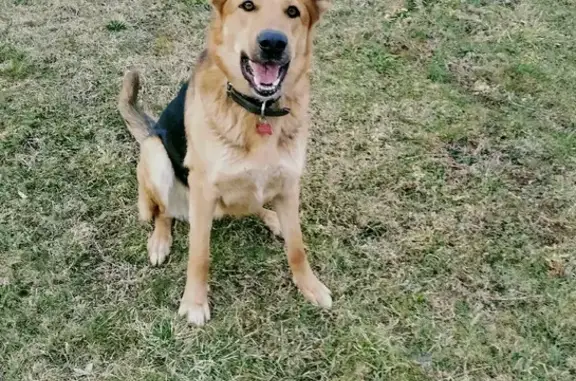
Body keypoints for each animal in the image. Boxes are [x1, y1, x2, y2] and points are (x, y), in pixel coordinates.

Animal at [117, 0, 330, 326]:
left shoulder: (290, 182)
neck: (258, 111)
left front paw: (310, 285)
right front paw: (194, 302)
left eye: (293, 11)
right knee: (164, 211)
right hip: (156, 153)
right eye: (247, 5)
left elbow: (297, 246)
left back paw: (271, 217)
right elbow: (199, 255)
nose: (272, 43)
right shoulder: (203, 191)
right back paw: (160, 240)